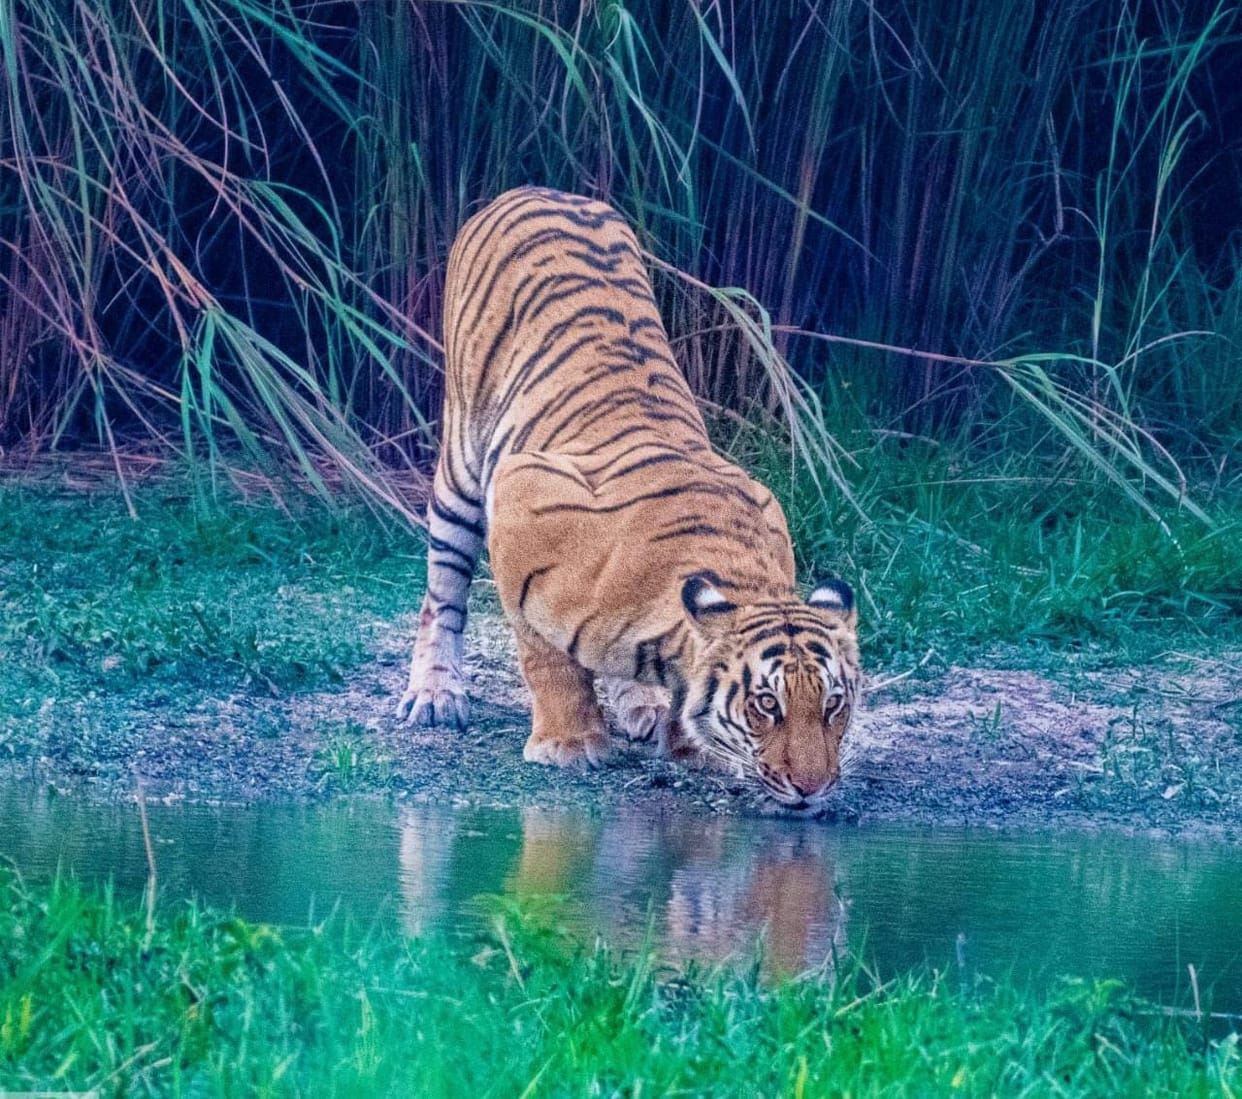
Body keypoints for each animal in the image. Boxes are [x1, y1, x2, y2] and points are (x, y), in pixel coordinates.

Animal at [396, 186, 860, 811]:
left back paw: (641, 705)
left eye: (834, 704)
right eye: (768, 705)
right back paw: (435, 695)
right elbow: (544, 653)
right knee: (442, 592)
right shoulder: (521, 492)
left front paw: (686, 744)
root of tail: (538, 189)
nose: (814, 790)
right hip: (462, 465)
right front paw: (569, 744)